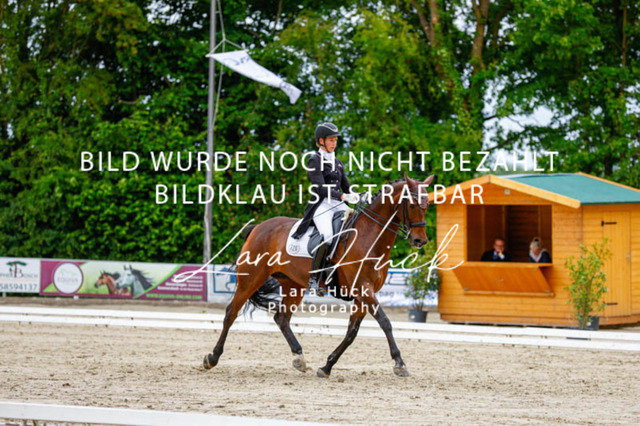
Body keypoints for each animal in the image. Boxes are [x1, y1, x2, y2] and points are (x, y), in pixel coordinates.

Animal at [204, 174, 434, 378]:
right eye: (413, 205)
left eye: (427, 206)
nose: (419, 241)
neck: (370, 235)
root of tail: (257, 227)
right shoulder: (363, 289)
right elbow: (385, 322)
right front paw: (399, 363)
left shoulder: (363, 295)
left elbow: (351, 333)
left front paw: (327, 366)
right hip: (251, 278)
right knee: (231, 313)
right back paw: (212, 358)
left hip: (293, 285)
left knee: (281, 318)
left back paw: (299, 358)